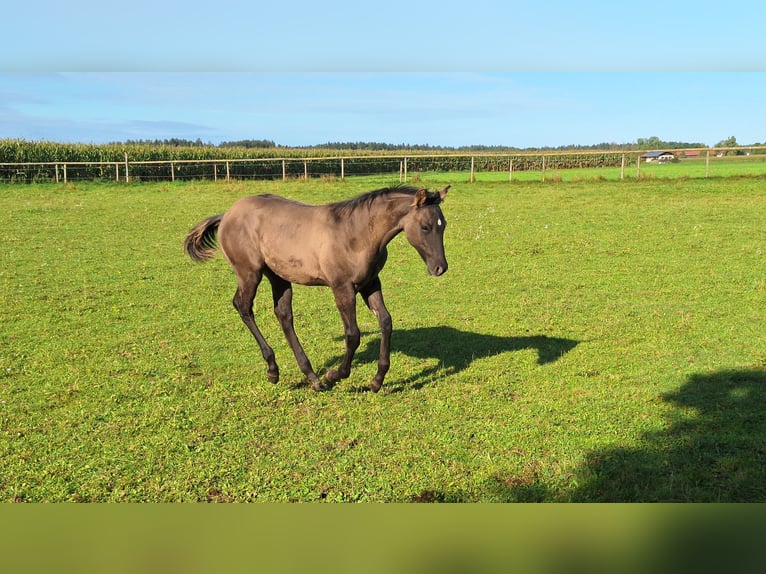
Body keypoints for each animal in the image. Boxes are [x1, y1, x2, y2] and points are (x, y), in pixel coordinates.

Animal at [184, 185, 450, 392]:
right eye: (425, 227)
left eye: (443, 225)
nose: (440, 268)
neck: (357, 233)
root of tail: (227, 214)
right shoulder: (342, 287)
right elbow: (353, 335)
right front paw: (334, 376)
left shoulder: (371, 283)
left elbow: (386, 321)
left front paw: (376, 381)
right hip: (249, 272)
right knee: (243, 306)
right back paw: (274, 370)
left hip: (278, 276)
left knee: (283, 315)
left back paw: (310, 376)